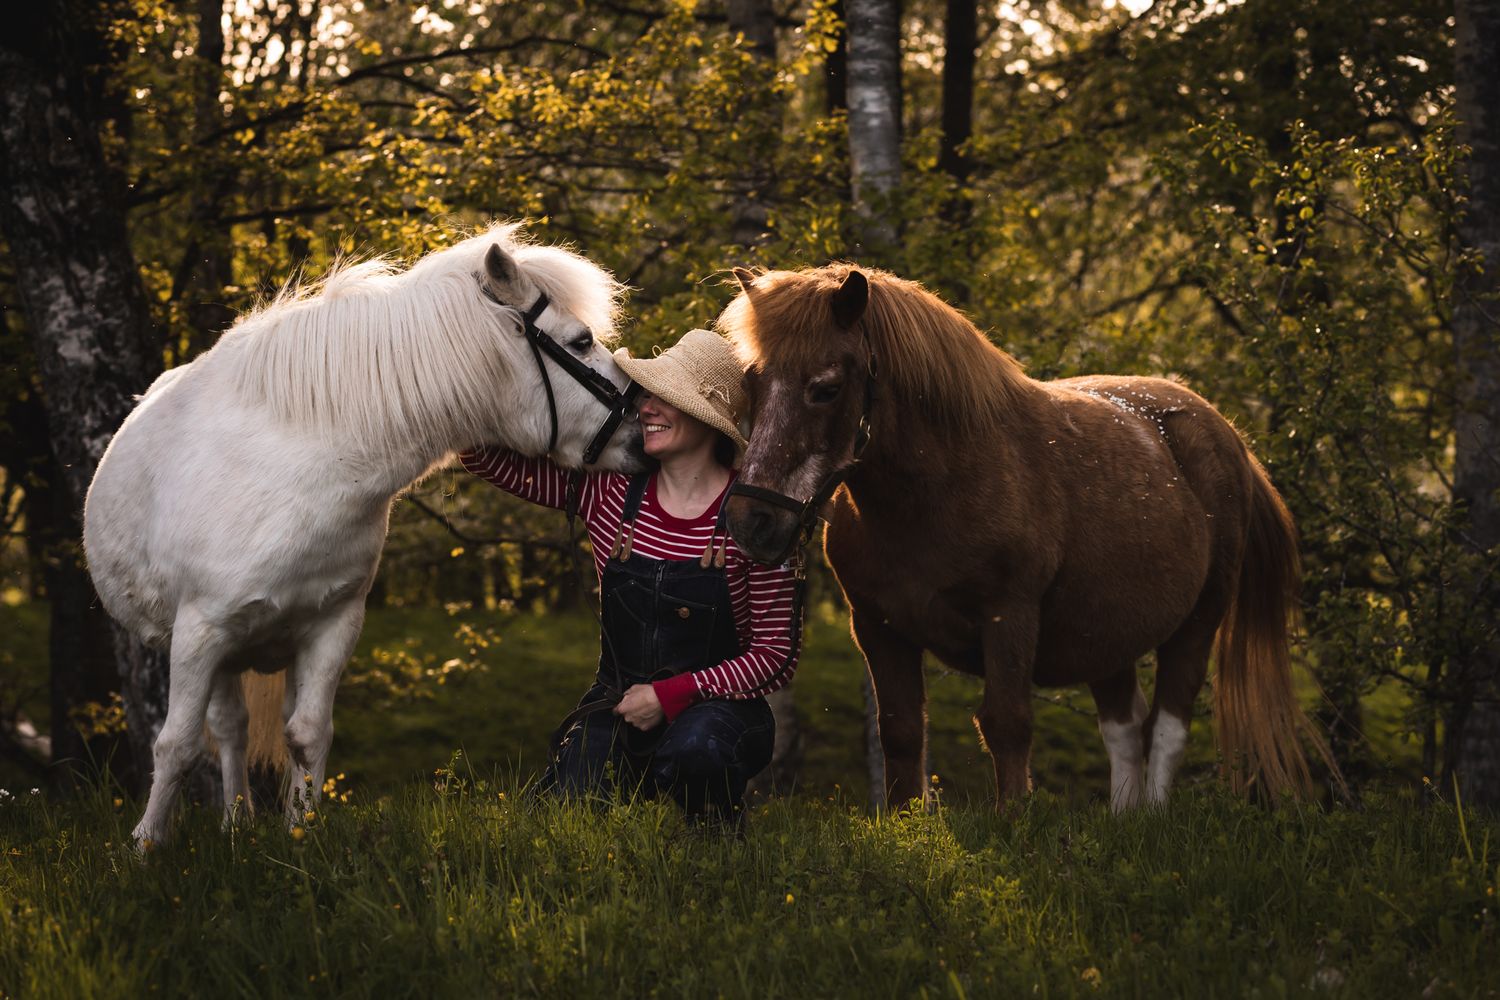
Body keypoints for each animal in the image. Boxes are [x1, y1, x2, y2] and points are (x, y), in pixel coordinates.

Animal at [85, 223, 643, 845]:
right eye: (581, 341)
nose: (643, 429)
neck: (304, 467)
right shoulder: (199, 630)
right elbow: (176, 745)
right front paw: (146, 846)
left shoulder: (334, 624)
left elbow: (307, 735)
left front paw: (299, 835)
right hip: (212, 645)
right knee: (224, 731)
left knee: (237, 727)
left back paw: (237, 824)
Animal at [719, 264, 1340, 811]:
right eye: (752, 381)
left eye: (825, 388)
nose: (751, 521)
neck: (941, 488)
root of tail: (1223, 431)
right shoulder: (878, 627)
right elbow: (901, 731)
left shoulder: (1009, 615)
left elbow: (1007, 724)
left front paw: (1014, 820)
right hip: (1107, 633)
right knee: (1125, 726)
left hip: (1198, 622)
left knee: (1168, 726)